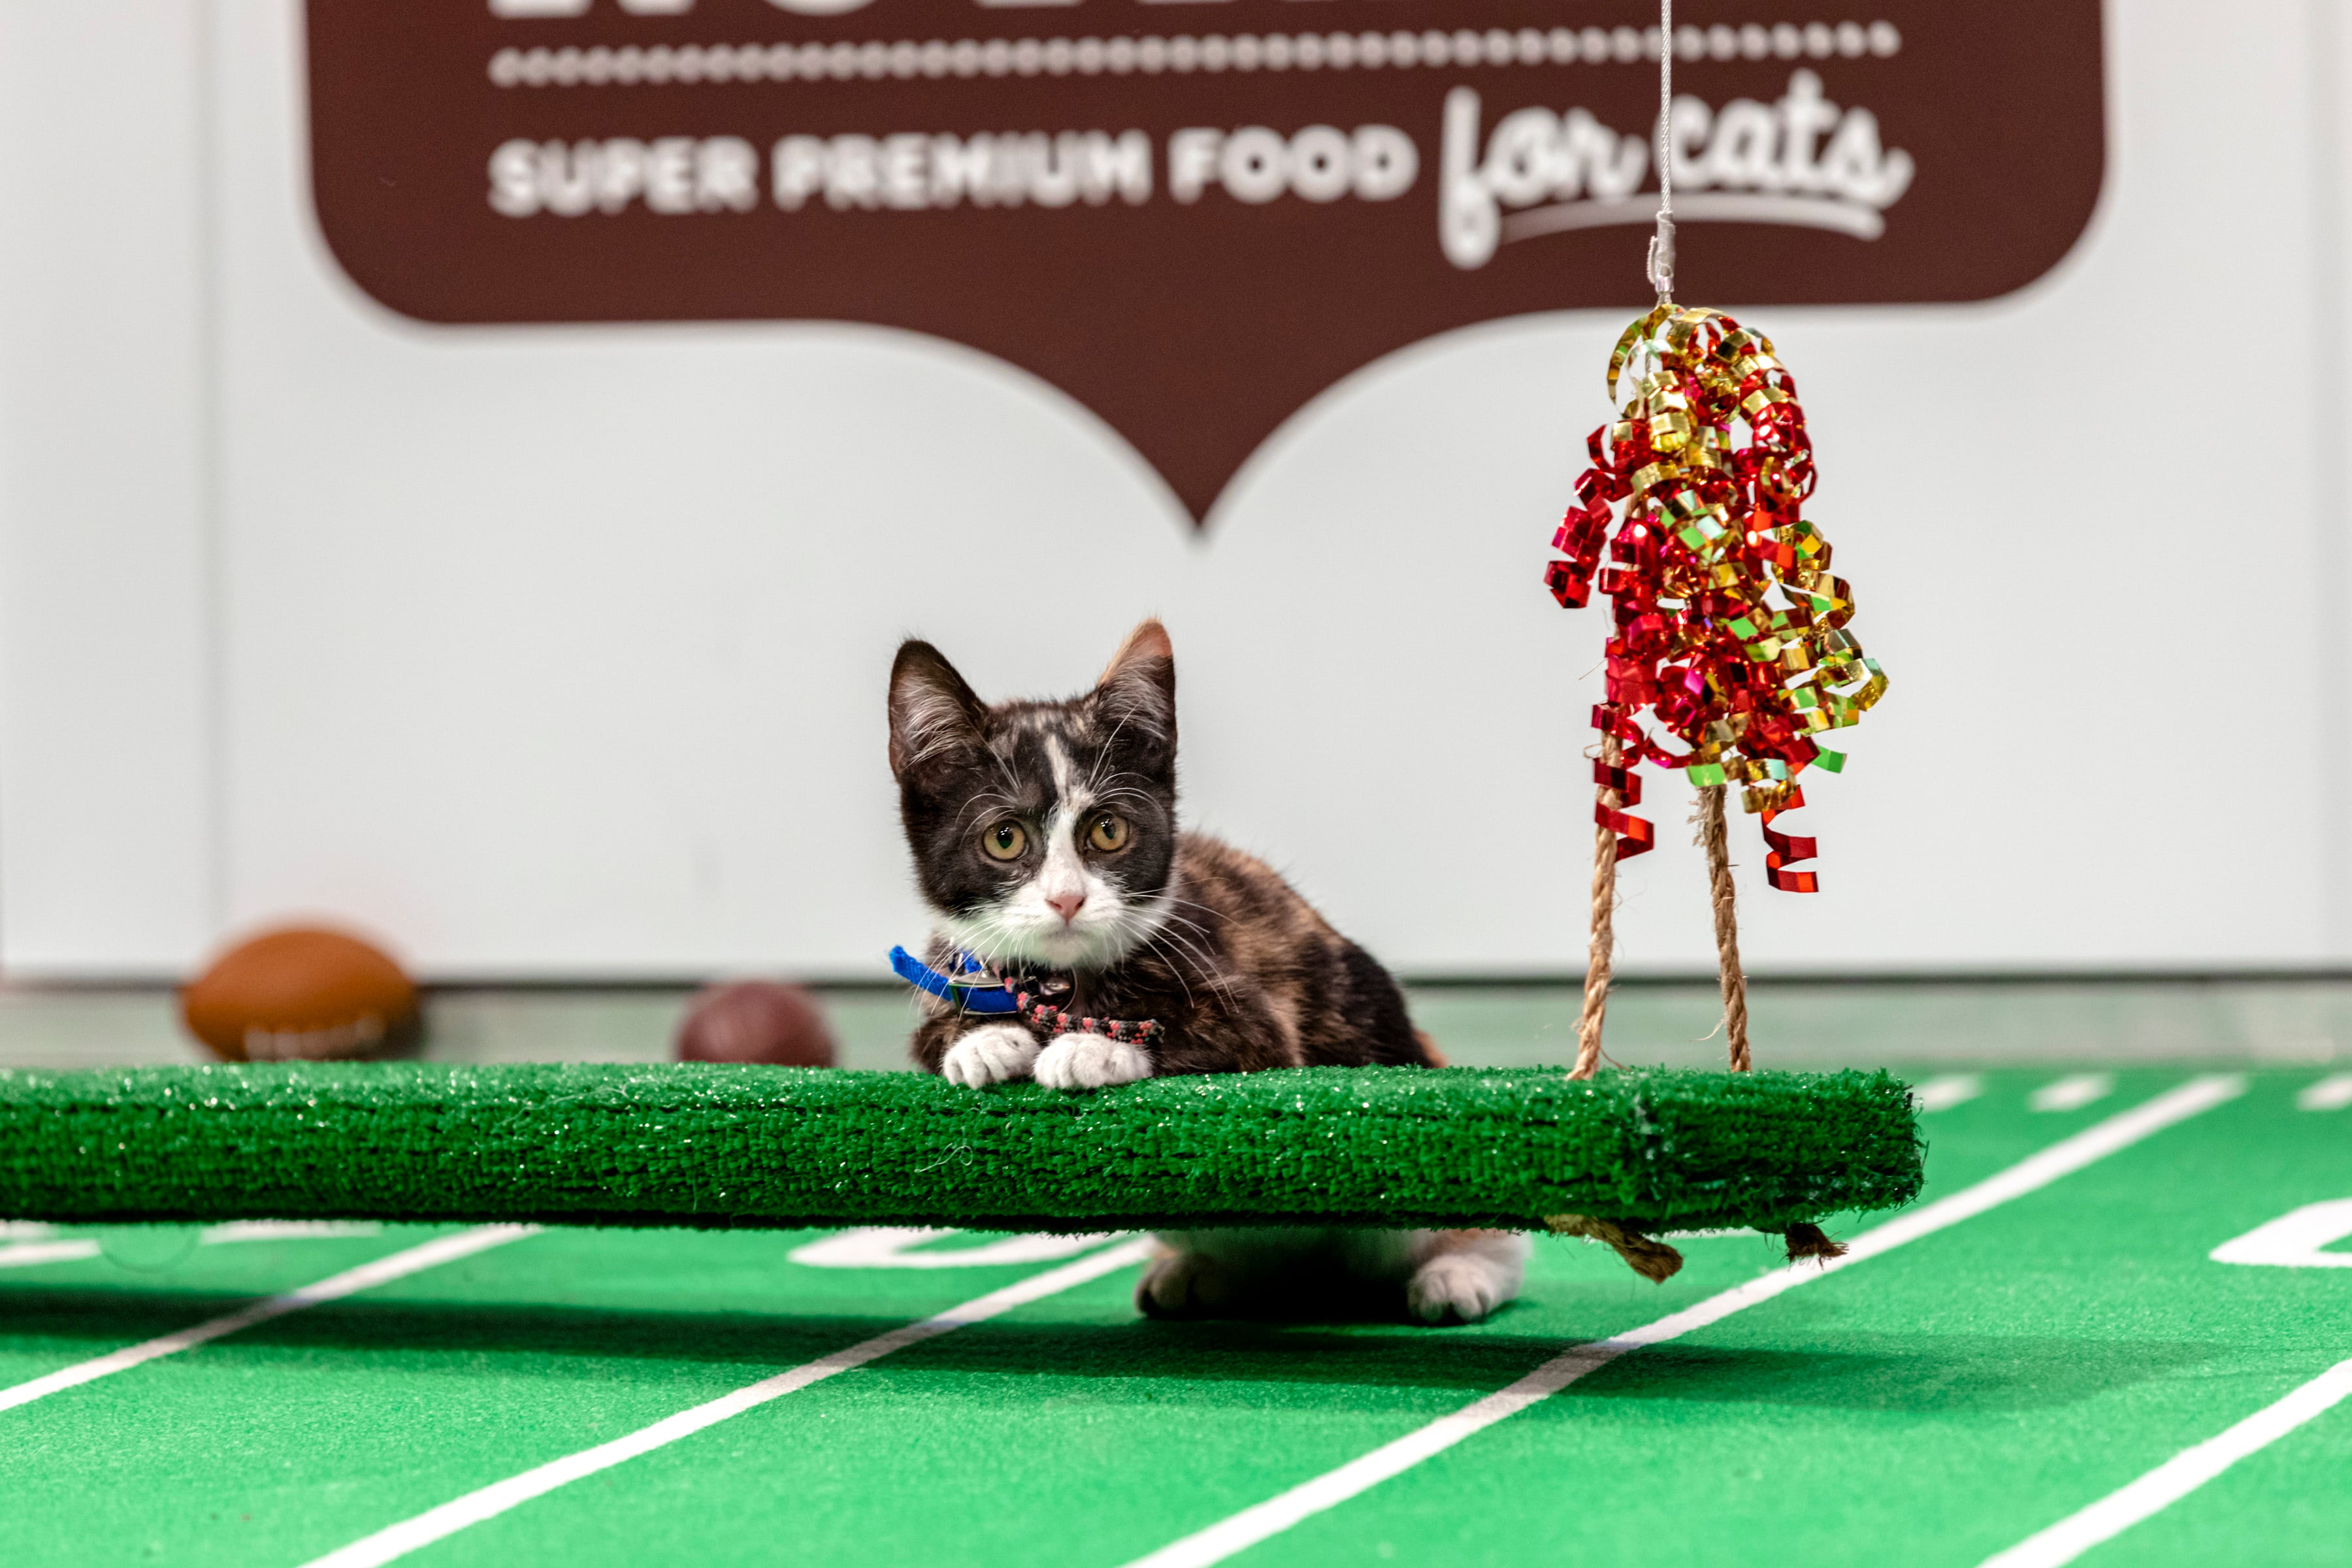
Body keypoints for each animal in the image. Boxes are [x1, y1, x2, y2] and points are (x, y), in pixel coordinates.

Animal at [886, 617, 1527, 1324]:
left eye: (1108, 831)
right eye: (1005, 839)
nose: (1067, 899)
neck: (1062, 981)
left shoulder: (1256, 1012)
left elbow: (1202, 1030)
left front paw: (1091, 1048)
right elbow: (935, 1032)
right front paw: (986, 1041)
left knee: (1480, 1235)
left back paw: (1459, 1274)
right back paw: (1198, 1275)